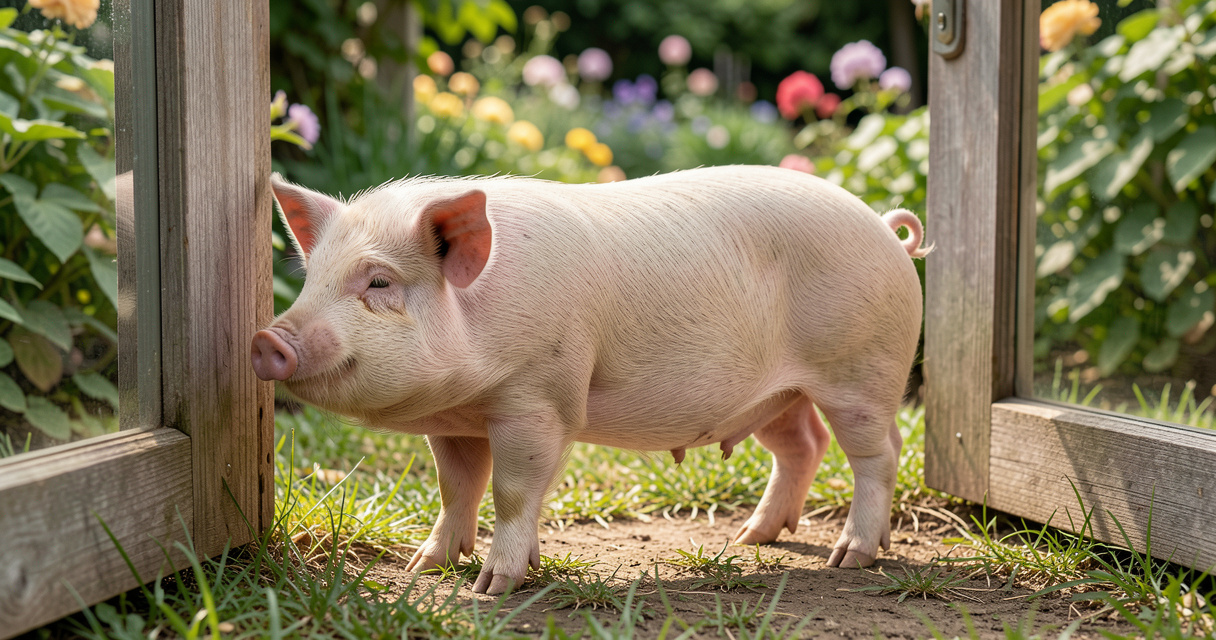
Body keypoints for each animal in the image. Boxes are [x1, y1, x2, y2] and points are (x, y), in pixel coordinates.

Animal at [251, 165, 929, 595]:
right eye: (312, 280)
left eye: (379, 282)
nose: (267, 339)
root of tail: (885, 227)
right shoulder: (454, 420)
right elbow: (456, 487)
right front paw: (425, 567)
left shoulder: (539, 400)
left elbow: (513, 491)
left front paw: (491, 587)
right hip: (777, 393)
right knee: (803, 445)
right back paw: (751, 539)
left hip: (861, 370)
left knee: (877, 454)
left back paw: (850, 559)